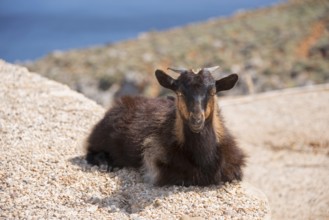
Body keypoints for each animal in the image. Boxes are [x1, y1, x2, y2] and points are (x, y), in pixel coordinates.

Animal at [84, 67, 243, 186]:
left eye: (212, 92)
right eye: (180, 92)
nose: (197, 120)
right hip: (100, 138)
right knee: (90, 151)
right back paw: (105, 164)